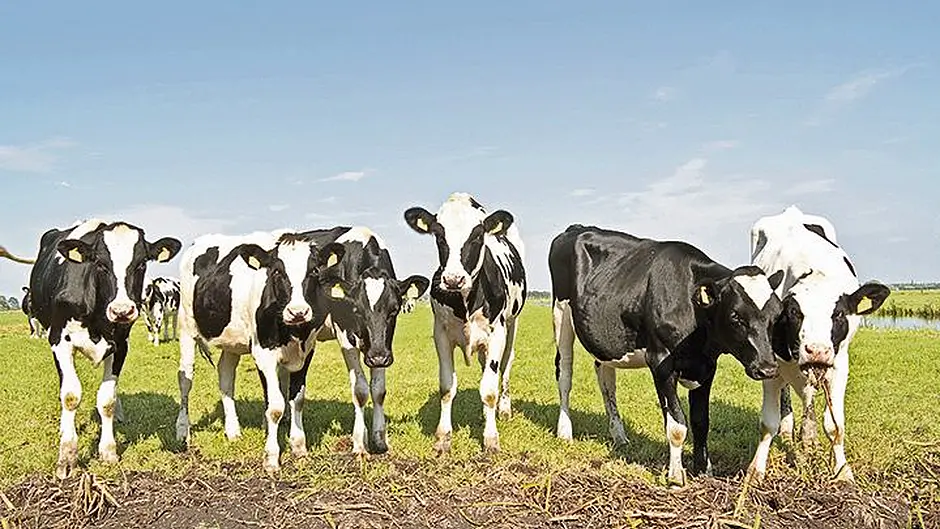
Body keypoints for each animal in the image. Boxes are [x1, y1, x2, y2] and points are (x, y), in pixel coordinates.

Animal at [27, 219, 181, 478]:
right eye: (100, 264)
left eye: (141, 263)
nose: (122, 310)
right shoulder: (59, 341)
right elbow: (70, 396)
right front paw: (67, 457)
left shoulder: (121, 346)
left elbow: (107, 399)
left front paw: (108, 451)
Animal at [176, 230, 347, 472]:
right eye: (276, 271)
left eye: (314, 270)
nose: (298, 312)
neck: (293, 332)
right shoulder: (264, 353)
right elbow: (275, 407)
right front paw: (272, 458)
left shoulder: (306, 351)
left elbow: (297, 399)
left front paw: (299, 447)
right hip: (186, 326)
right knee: (185, 379)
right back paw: (183, 431)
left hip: (232, 341)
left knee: (226, 377)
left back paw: (233, 431)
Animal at [404, 192, 527, 453]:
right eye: (439, 235)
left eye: (478, 235)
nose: (453, 279)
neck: (466, 300)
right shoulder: (440, 334)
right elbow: (447, 387)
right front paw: (443, 437)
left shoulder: (497, 332)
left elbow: (489, 390)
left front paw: (491, 439)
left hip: (513, 325)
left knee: (505, 366)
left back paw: (503, 410)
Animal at [549, 224, 785, 486]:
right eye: (736, 316)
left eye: (777, 315)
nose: (767, 368)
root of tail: (577, 228)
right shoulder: (661, 362)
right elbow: (677, 425)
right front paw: (676, 476)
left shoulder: (707, 366)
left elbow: (701, 422)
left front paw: (704, 469)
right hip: (561, 314)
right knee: (564, 374)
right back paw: (565, 431)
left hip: (604, 339)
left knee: (606, 382)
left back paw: (619, 436)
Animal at [746, 206, 890, 483]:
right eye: (793, 312)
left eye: (839, 314)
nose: (817, 351)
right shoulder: (771, 365)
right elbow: (768, 423)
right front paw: (756, 470)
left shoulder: (839, 364)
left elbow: (835, 425)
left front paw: (842, 470)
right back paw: (791, 432)